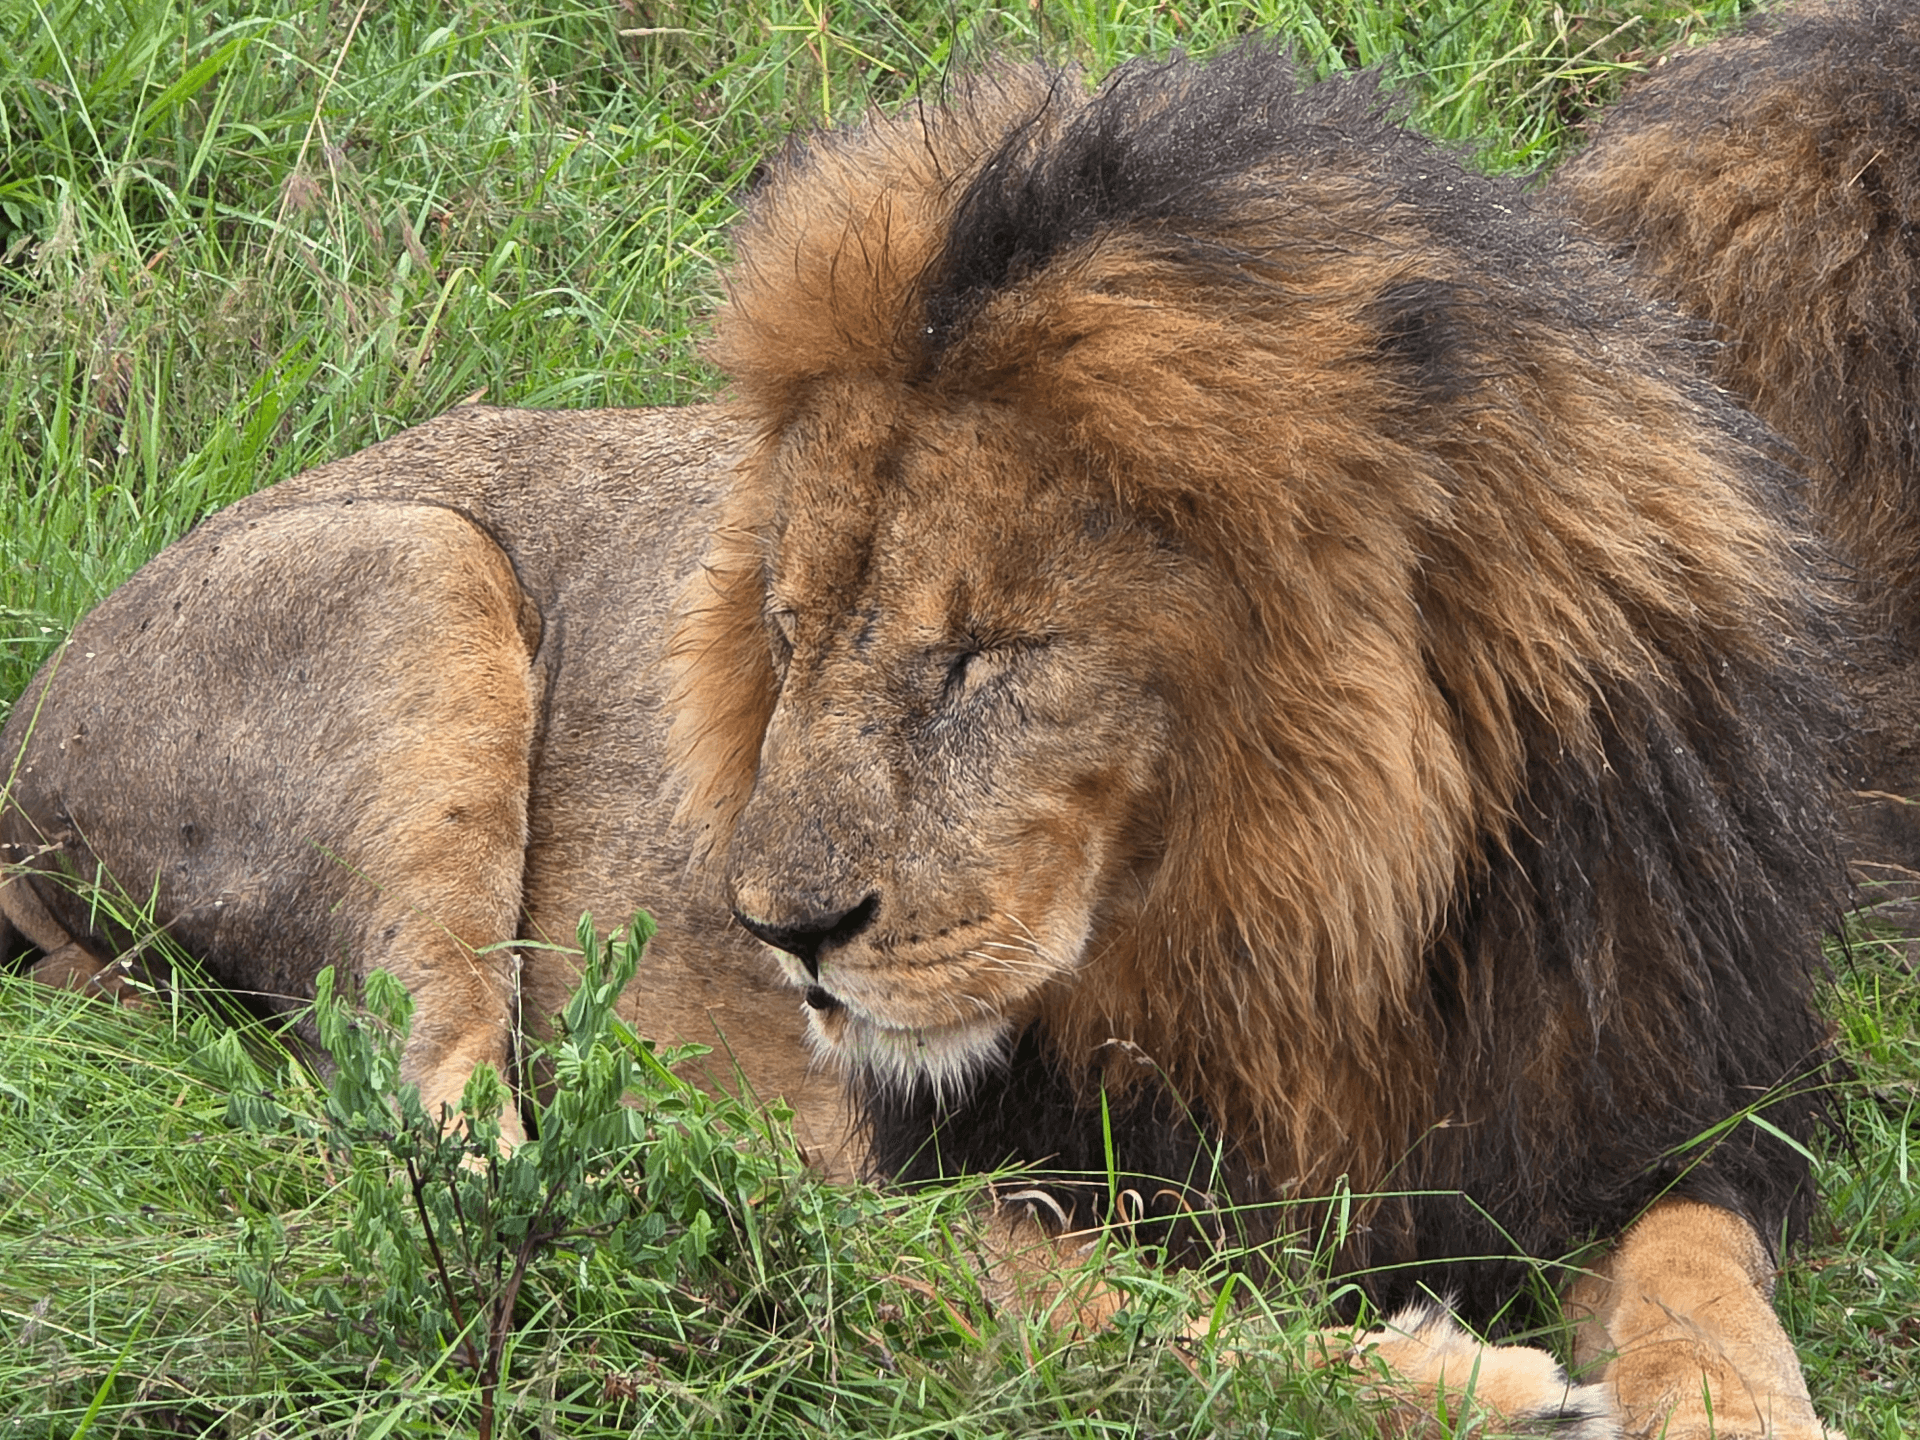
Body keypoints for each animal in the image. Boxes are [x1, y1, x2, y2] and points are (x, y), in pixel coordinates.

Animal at [2, 44, 1848, 1439]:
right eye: (785, 635)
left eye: (982, 661)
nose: (779, 935)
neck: (1341, 938)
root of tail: (26, 741)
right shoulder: (969, 1163)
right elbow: (1111, 1302)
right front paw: (1471, 1381)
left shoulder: (1689, 1104)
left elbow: (1703, 1282)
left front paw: (1733, 1408)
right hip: (416, 568)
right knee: (467, 1150)